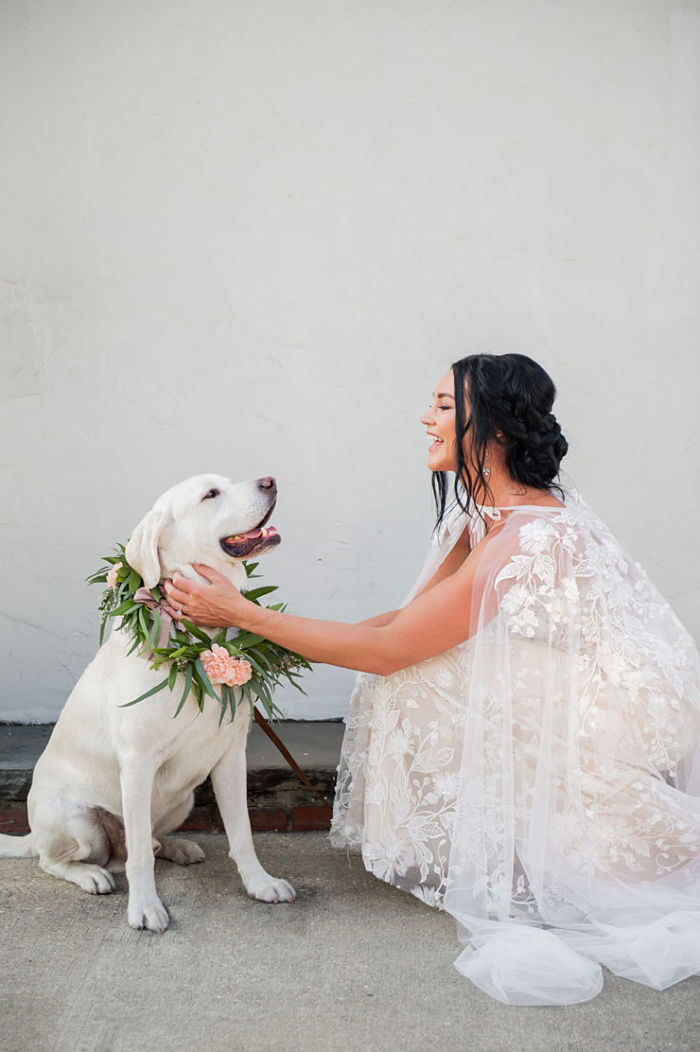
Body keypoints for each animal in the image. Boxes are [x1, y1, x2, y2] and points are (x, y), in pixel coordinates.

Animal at [0, 475, 294, 929]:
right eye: (211, 494)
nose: (271, 481)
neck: (199, 641)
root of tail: (32, 834)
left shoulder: (230, 755)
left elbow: (242, 833)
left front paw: (260, 883)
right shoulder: (137, 763)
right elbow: (138, 857)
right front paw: (144, 907)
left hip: (183, 798)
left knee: (150, 840)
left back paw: (176, 847)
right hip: (78, 821)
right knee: (67, 859)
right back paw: (91, 875)